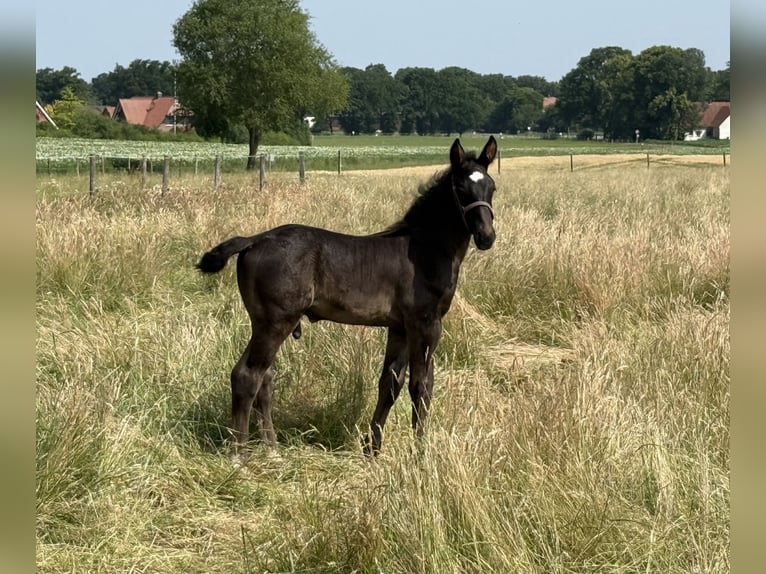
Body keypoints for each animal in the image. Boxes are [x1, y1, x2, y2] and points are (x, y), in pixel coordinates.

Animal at [197, 136, 498, 456]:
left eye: (491, 188)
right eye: (461, 189)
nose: (486, 236)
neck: (424, 248)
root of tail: (254, 240)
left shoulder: (400, 327)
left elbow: (390, 384)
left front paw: (373, 448)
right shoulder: (426, 324)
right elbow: (421, 386)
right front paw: (420, 451)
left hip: (267, 323)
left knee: (264, 377)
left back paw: (272, 449)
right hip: (275, 321)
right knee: (247, 375)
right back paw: (238, 454)